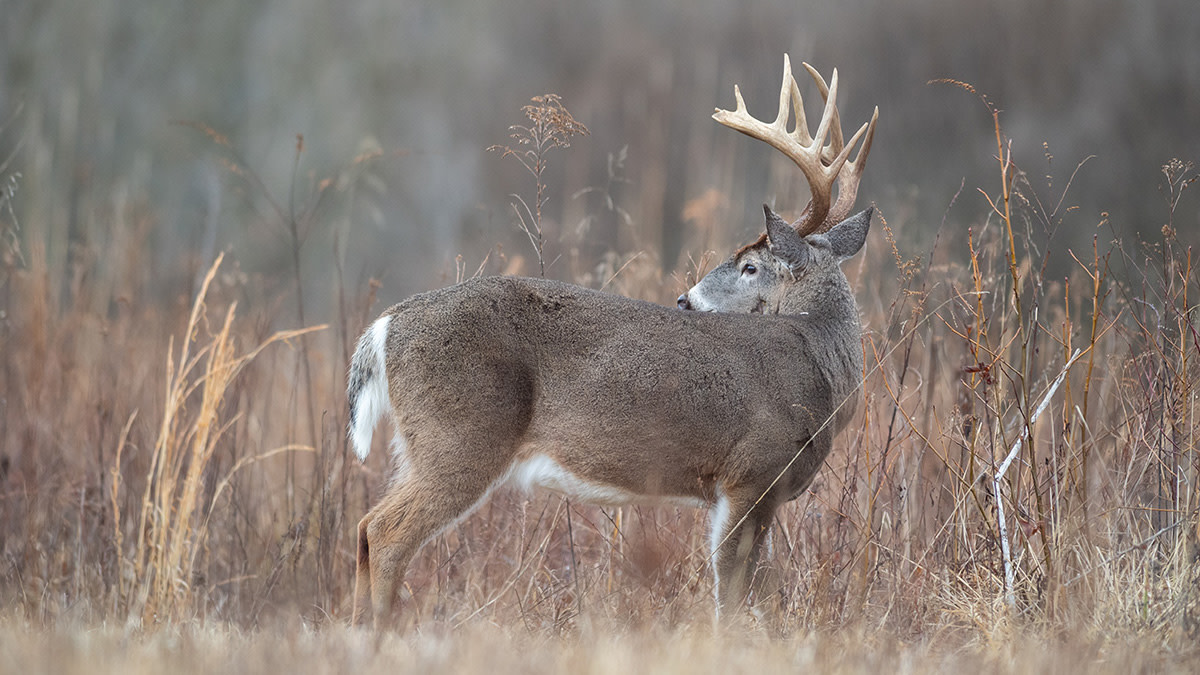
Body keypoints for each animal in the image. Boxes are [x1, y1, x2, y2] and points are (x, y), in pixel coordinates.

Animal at [346, 54, 878, 628]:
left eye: (750, 266)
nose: (685, 300)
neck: (819, 361)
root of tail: (387, 324)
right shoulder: (751, 473)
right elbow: (732, 591)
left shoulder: (756, 491)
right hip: (459, 433)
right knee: (385, 532)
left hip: (427, 443)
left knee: (366, 529)